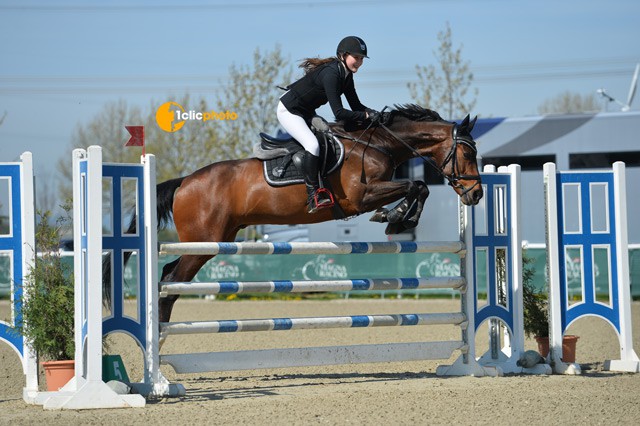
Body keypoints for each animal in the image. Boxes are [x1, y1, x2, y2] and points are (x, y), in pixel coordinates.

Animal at [110, 103, 482, 322]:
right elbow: (415, 186)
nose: (476, 194)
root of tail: (185, 181)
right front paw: (396, 217)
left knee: (169, 275)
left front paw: (398, 217)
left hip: (214, 241)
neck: (376, 144)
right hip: (203, 242)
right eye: (466, 154)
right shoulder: (360, 196)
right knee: (171, 281)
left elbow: (417, 188)